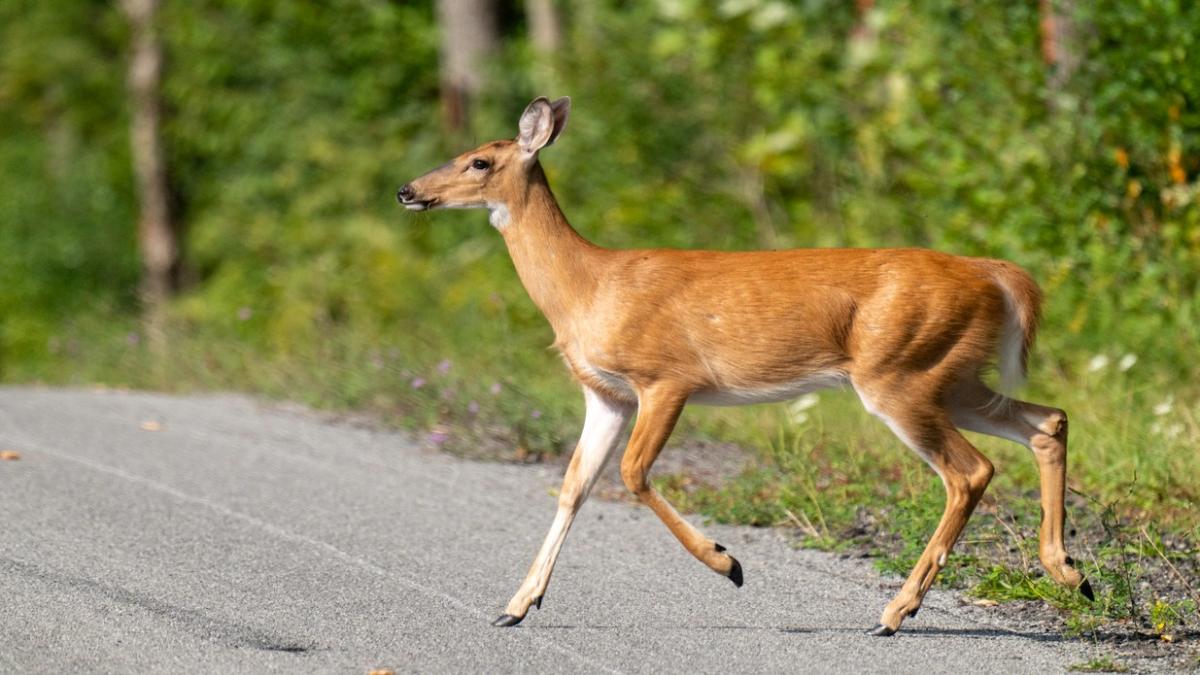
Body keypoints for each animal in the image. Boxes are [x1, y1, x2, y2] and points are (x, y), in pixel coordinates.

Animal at [396, 96, 1093, 635]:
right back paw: (1070, 573)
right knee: (1046, 421)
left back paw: (896, 613)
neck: (587, 287)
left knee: (970, 470)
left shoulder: (666, 377)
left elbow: (631, 473)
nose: (408, 190)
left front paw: (727, 563)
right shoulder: (606, 393)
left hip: (900, 374)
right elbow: (574, 484)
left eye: (479, 160)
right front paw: (516, 605)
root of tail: (995, 274)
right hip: (952, 375)